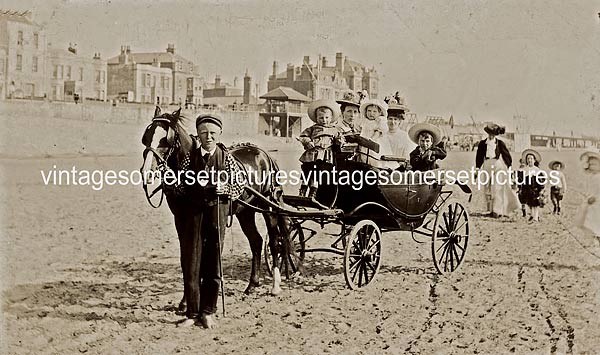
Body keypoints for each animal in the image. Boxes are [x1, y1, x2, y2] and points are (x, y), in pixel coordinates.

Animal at [139, 107, 292, 302]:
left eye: (166, 139)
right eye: (147, 135)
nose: (146, 171)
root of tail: (264, 154)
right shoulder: (180, 219)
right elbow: (186, 256)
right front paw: (185, 300)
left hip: (268, 206)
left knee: (274, 241)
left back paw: (275, 286)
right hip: (245, 211)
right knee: (256, 241)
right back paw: (252, 285)